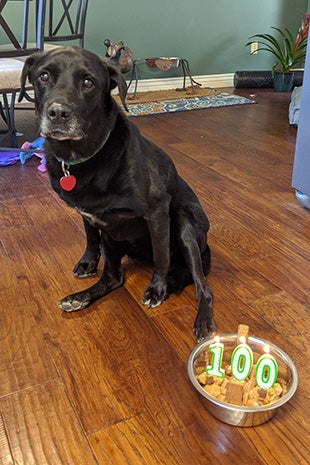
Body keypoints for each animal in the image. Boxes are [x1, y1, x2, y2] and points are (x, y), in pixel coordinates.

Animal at [20, 45, 216, 338]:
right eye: (43, 77)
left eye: (88, 82)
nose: (58, 113)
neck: (84, 156)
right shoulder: (88, 214)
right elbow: (90, 238)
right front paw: (88, 262)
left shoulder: (157, 211)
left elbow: (161, 255)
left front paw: (157, 289)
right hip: (112, 237)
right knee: (114, 278)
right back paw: (79, 298)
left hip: (184, 225)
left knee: (202, 287)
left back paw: (202, 320)